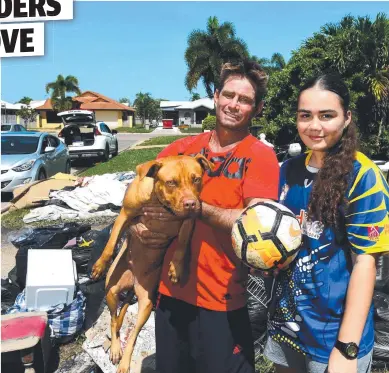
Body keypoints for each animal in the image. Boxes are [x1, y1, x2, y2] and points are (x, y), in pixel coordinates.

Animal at [90, 153, 212, 372]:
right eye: (171, 182)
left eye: (197, 179)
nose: (191, 203)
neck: (159, 202)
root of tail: (132, 283)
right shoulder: (125, 214)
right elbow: (111, 243)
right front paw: (100, 265)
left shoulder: (188, 221)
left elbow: (182, 245)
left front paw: (176, 269)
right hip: (111, 290)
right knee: (113, 321)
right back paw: (115, 348)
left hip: (146, 303)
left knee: (132, 335)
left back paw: (125, 362)